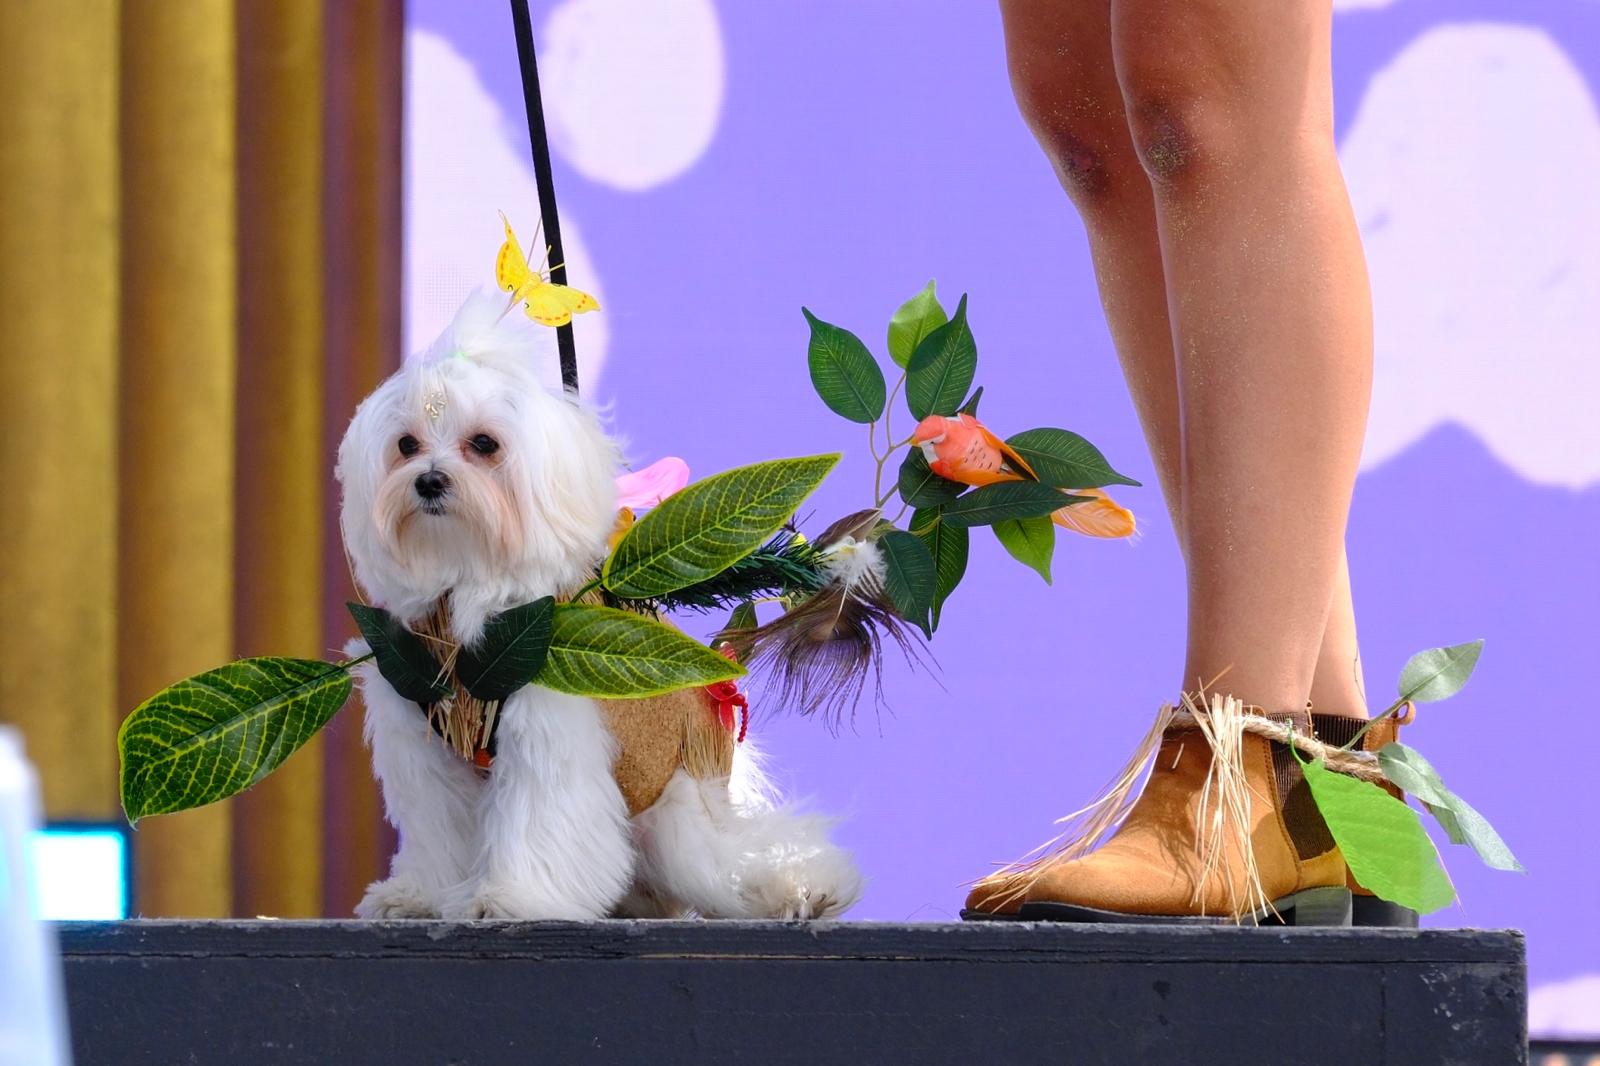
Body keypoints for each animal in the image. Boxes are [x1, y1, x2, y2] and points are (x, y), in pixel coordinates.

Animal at [337, 292, 864, 921]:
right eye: (406, 445)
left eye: (484, 444)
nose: (429, 481)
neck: (469, 579)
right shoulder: (425, 740)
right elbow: (440, 832)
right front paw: (420, 896)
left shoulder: (547, 726)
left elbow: (538, 819)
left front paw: (510, 897)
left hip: (681, 823)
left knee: (733, 865)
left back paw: (798, 889)